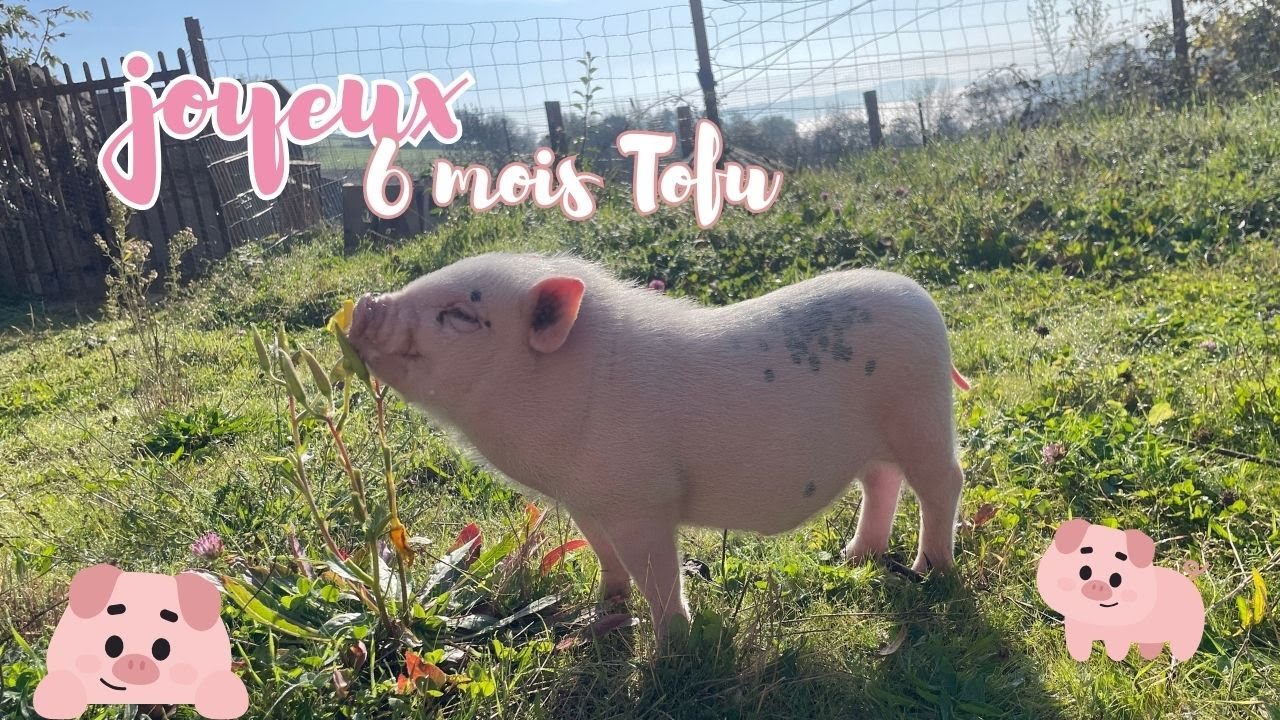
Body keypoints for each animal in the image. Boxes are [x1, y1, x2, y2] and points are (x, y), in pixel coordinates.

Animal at [348, 252, 969, 635]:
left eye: (459, 314)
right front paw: (604, 613)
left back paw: (931, 570)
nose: (364, 305)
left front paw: (672, 645)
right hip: (880, 438)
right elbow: (605, 556)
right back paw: (853, 557)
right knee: (881, 480)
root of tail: (922, 298)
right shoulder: (585, 500)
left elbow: (658, 573)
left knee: (942, 483)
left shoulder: (641, 500)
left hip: (922, 412)